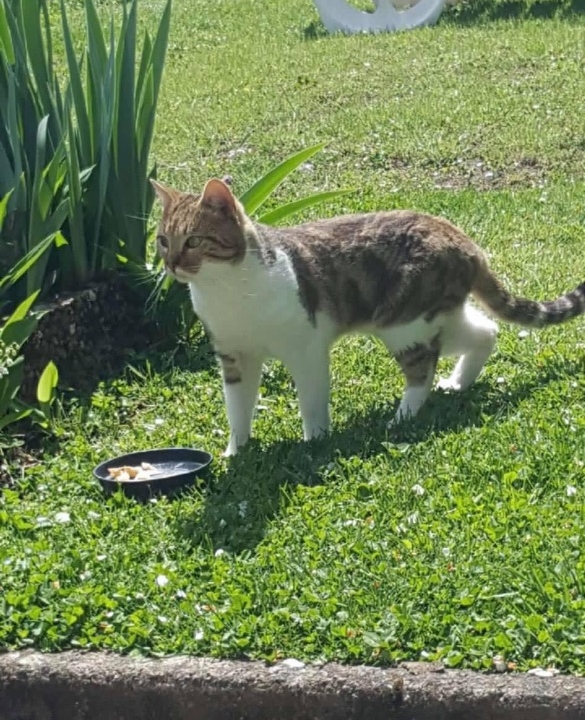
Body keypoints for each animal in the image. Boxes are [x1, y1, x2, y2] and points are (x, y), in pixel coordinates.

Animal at [152, 176, 584, 452]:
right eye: (162, 241)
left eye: (194, 241)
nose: (171, 264)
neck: (228, 293)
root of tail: (464, 240)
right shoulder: (234, 356)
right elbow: (237, 408)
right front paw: (236, 451)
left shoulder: (306, 348)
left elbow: (311, 400)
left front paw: (315, 441)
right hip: (434, 316)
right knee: (486, 331)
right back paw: (459, 383)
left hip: (403, 323)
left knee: (423, 369)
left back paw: (403, 417)